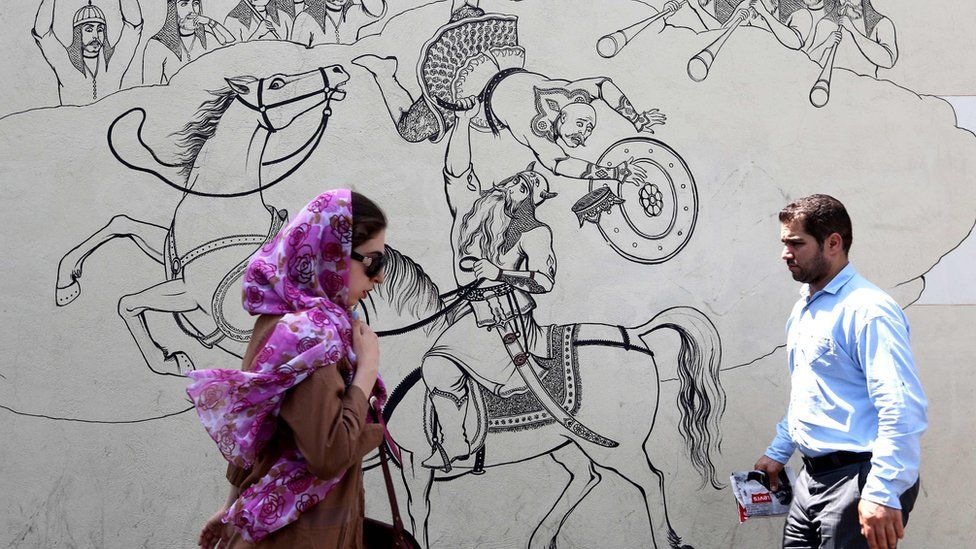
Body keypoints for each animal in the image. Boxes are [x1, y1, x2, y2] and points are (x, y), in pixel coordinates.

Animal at [54, 63, 350, 372]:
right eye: (277, 83)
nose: (337, 69)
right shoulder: (171, 260)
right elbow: (121, 223)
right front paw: (66, 285)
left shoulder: (191, 294)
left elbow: (128, 302)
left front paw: (171, 361)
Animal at [366, 247, 724, 548]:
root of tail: (634, 334)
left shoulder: (414, 460)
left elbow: (417, 512)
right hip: (566, 442)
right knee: (586, 476)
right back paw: (539, 539)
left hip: (618, 448)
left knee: (650, 480)